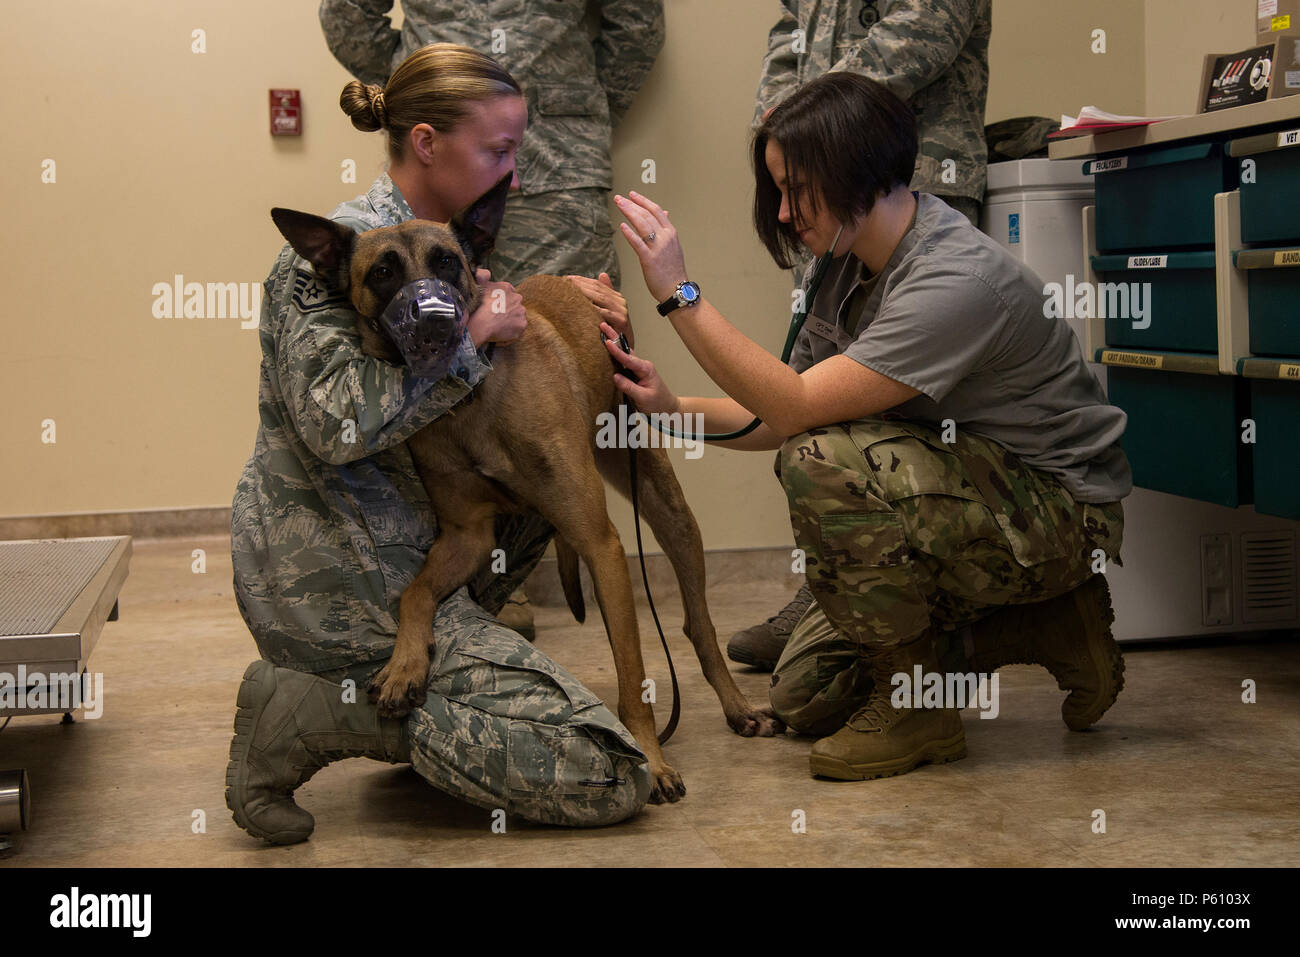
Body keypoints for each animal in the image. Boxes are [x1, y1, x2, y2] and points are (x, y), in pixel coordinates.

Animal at [273, 175, 780, 806]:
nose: (432, 320)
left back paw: (735, 705)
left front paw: (652, 761)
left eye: (447, 261)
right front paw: (404, 665)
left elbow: (631, 673)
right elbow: (414, 592)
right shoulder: (466, 537)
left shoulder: (601, 545)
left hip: (666, 507)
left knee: (698, 625)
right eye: (383, 271)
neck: (468, 402)